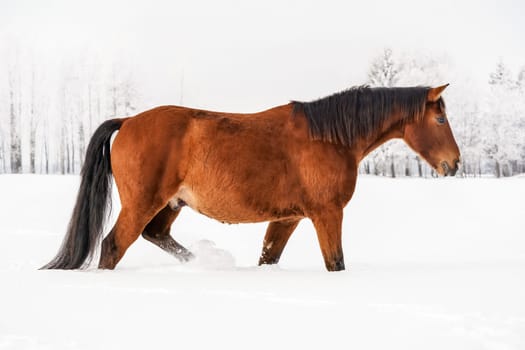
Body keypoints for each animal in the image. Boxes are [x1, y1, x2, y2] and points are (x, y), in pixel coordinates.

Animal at [42, 84, 458, 270]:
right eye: (440, 118)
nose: (454, 163)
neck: (330, 138)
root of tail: (127, 121)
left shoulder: (288, 218)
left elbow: (268, 257)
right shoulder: (327, 214)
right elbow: (335, 262)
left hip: (170, 205)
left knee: (156, 235)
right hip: (143, 203)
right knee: (113, 246)